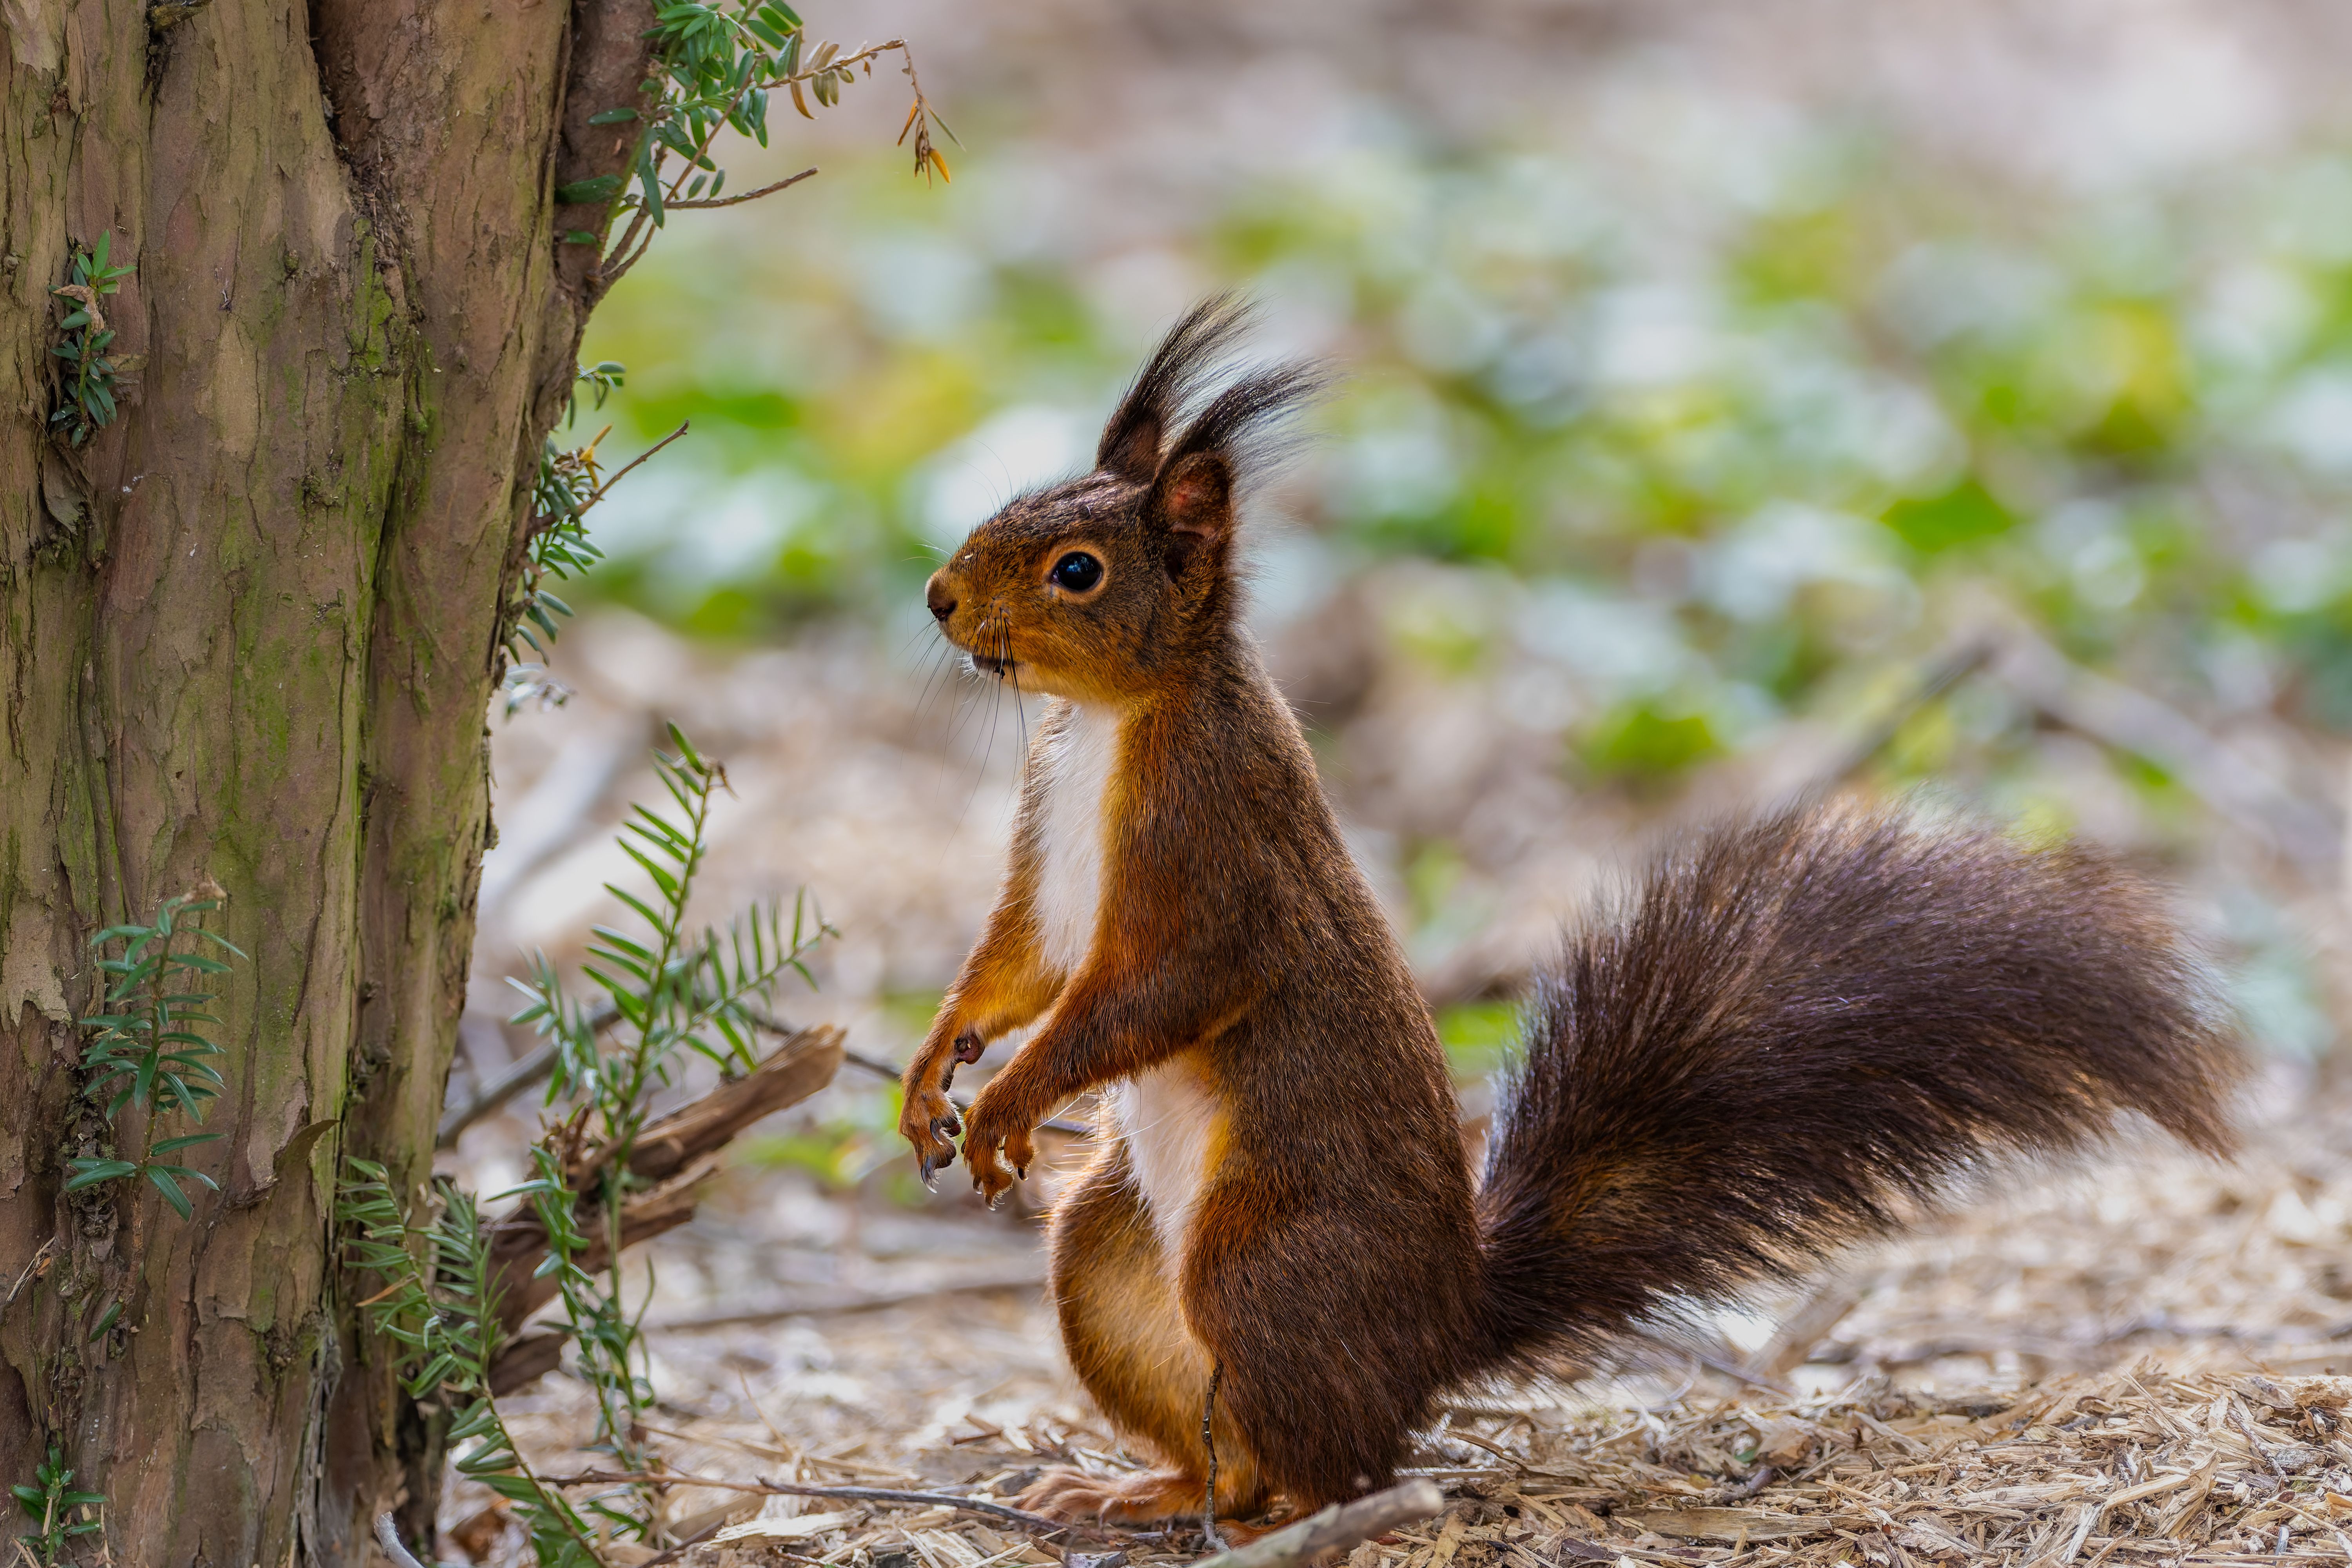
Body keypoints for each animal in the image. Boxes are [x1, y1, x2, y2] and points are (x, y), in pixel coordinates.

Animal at [899, 297, 2244, 1532]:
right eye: (1018, 504)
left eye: (1078, 570)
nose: (937, 598)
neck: (1115, 722)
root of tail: (1440, 1326)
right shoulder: (1048, 863)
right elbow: (1020, 961)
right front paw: (931, 1072)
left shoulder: (1216, 857)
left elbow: (1155, 989)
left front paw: (1010, 1100)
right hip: (1108, 1253)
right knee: (1218, 1434)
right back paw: (1148, 1486)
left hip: (1260, 1262)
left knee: (1352, 1463)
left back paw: (1288, 1513)